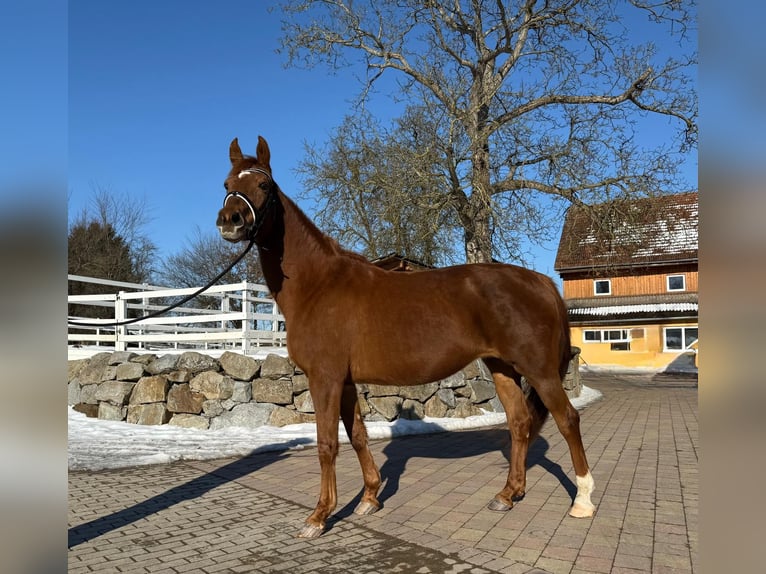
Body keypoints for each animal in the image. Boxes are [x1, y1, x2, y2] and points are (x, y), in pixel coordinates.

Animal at [216, 136, 596, 538]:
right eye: (227, 184)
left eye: (264, 185)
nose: (230, 221)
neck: (318, 285)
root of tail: (541, 282)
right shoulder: (345, 382)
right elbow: (358, 435)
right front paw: (369, 498)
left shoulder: (325, 379)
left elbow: (327, 443)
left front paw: (319, 517)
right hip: (502, 368)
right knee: (520, 423)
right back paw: (507, 495)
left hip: (539, 371)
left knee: (567, 419)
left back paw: (582, 501)